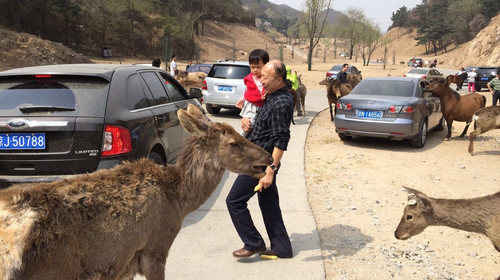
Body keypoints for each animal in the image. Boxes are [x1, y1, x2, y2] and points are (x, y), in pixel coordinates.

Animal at [0, 104, 274, 280]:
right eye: (234, 142)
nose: (269, 157)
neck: (177, 201)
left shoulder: (123, 263)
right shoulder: (154, 249)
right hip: (54, 269)